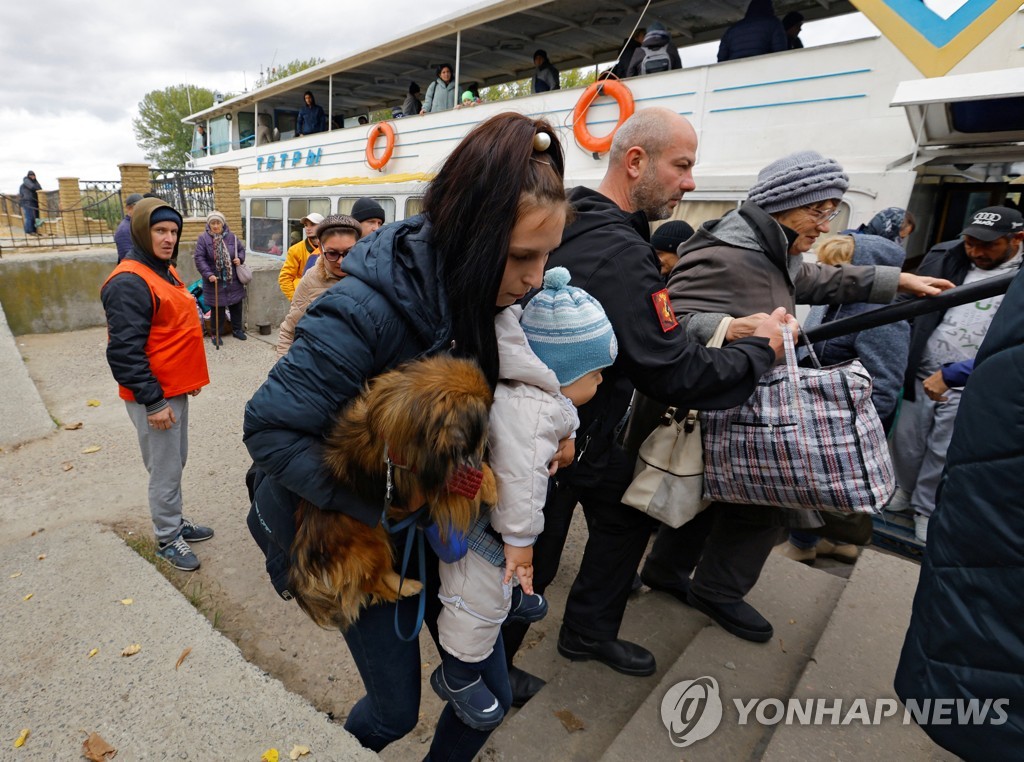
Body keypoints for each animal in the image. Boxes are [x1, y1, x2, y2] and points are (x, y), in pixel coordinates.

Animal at [290, 356, 497, 630]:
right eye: (482, 420)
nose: (489, 438)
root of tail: (305, 543)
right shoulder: (423, 484)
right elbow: (458, 483)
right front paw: (490, 487)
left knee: (380, 575)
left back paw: (406, 586)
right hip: (370, 543)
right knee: (371, 583)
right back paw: (404, 589)